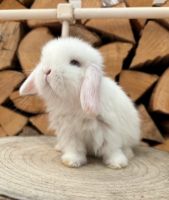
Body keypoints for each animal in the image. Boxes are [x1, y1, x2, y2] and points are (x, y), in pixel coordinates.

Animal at [19, 36, 141, 168]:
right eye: (44, 59)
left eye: (74, 63)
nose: (46, 70)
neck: (72, 102)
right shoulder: (70, 132)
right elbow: (74, 148)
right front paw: (72, 161)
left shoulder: (110, 130)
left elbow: (112, 149)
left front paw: (118, 163)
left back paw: (128, 154)